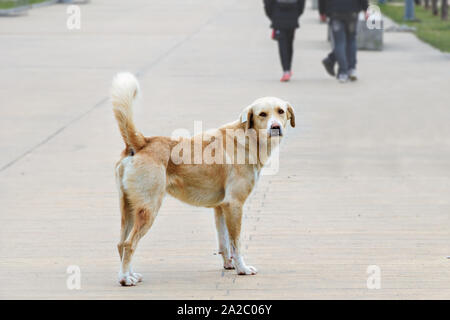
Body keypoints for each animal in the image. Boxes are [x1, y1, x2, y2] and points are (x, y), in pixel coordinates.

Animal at [110, 72, 296, 284]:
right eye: (262, 114)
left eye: (281, 111)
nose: (275, 127)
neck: (247, 138)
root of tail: (142, 142)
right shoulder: (235, 204)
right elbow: (236, 243)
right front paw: (242, 268)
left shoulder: (221, 208)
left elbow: (224, 242)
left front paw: (229, 265)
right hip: (149, 208)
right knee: (129, 244)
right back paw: (125, 279)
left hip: (129, 208)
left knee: (120, 243)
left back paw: (129, 274)